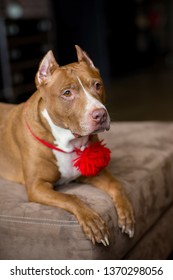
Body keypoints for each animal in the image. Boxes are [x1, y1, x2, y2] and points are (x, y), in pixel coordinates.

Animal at [0, 45, 135, 245]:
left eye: (97, 85)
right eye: (67, 93)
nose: (100, 115)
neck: (69, 142)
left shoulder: (94, 172)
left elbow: (116, 184)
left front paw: (127, 214)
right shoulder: (37, 186)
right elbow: (70, 198)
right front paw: (92, 221)